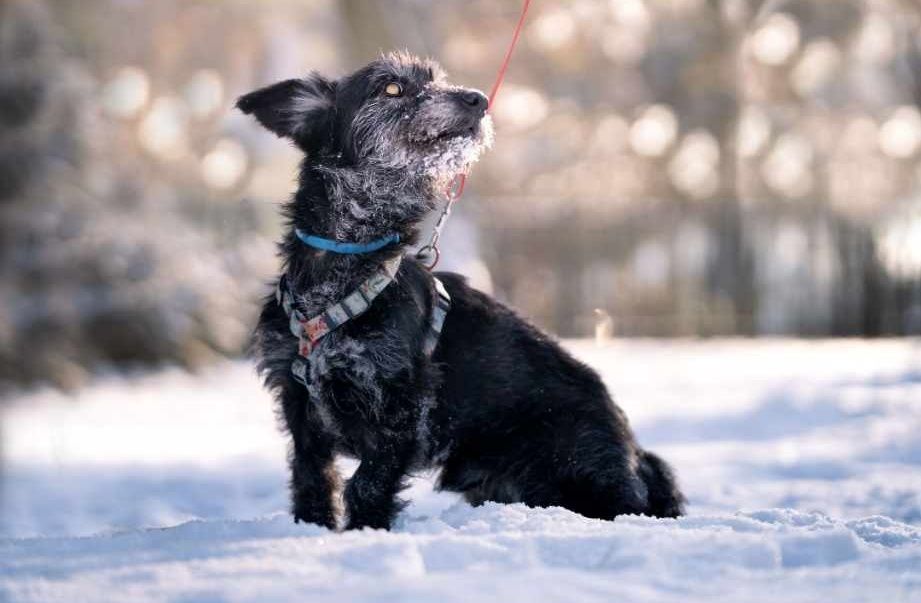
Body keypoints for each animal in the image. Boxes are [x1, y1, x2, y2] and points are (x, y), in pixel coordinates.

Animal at [237, 53, 684, 532]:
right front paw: (313, 529)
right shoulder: (298, 400)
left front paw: (365, 531)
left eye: (438, 80)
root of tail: (636, 455)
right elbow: (311, 476)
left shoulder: (403, 405)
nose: (478, 99)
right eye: (391, 88)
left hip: (575, 464)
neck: (342, 269)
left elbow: (368, 482)